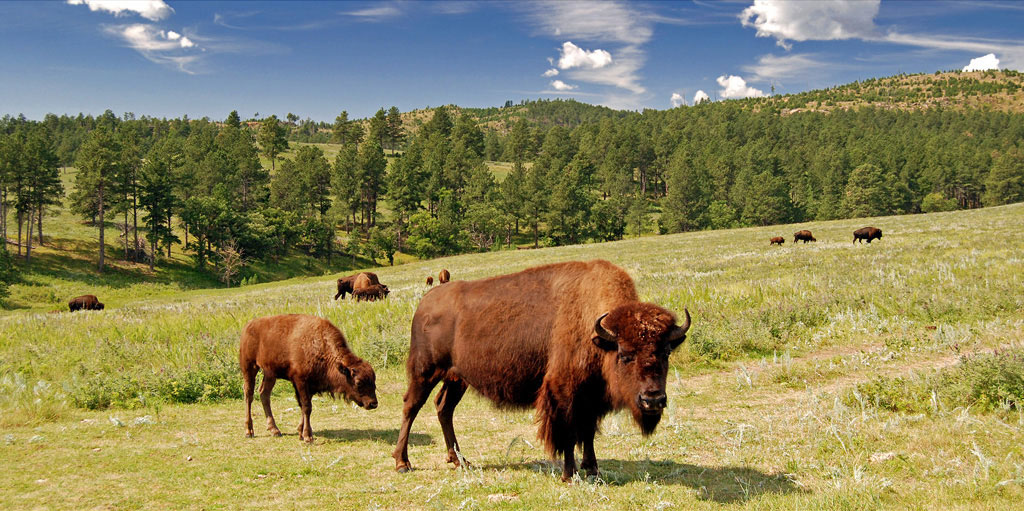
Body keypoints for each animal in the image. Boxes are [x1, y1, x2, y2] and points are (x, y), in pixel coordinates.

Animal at [240, 314, 378, 442]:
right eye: (358, 382)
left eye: (374, 381)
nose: (373, 403)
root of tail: (249, 325)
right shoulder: (301, 381)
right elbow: (306, 407)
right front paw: (307, 437)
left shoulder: (309, 385)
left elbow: (303, 406)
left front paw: (301, 432)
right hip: (249, 367)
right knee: (249, 395)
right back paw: (249, 431)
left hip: (270, 374)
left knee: (264, 394)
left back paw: (275, 430)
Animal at [392, 260, 691, 481]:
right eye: (625, 355)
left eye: (666, 352)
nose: (653, 400)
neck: (597, 333)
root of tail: (425, 302)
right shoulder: (564, 392)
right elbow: (568, 433)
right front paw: (569, 475)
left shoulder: (590, 396)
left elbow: (588, 432)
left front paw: (593, 469)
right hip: (425, 371)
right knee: (410, 406)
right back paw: (402, 463)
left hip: (456, 378)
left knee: (443, 407)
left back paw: (459, 460)